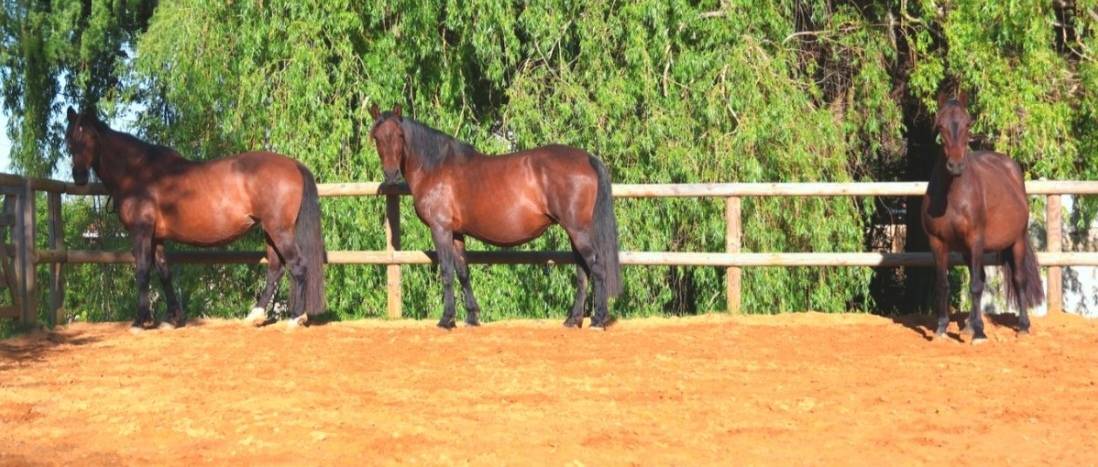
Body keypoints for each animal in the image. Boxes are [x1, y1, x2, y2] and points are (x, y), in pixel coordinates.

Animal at [64, 107, 326, 329]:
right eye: (70, 139)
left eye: (88, 138)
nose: (79, 176)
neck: (138, 173)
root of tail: (293, 165)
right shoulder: (157, 237)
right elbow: (164, 272)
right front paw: (172, 318)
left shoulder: (141, 232)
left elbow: (142, 270)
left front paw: (141, 320)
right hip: (270, 231)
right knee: (275, 269)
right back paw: (256, 315)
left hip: (279, 230)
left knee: (298, 266)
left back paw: (295, 317)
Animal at [368, 104, 622, 329]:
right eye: (377, 137)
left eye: (399, 135)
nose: (391, 174)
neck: (435, 167)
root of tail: (587, 158)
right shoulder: (456, 233)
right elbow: (463, 271)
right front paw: (472, 317)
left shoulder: (440, 229)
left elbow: (447, 272)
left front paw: (447, 319)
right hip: (574, 232)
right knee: (582, 272)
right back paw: (573, 319)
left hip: (578, 231)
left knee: (597, 268)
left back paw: (598, 319)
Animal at [921, 93, 1044, 343]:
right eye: (940, 125)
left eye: (968, 124)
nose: (955, 165)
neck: (952, 197)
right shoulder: (937, 243)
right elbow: (943, 285)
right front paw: (942, 328)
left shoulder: (976, 240)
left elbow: (976, 286)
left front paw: (979, 333)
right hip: (967, 251)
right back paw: (969, 325)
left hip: (1016, 241)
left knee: (1019, 279)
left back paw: (1022, 325)